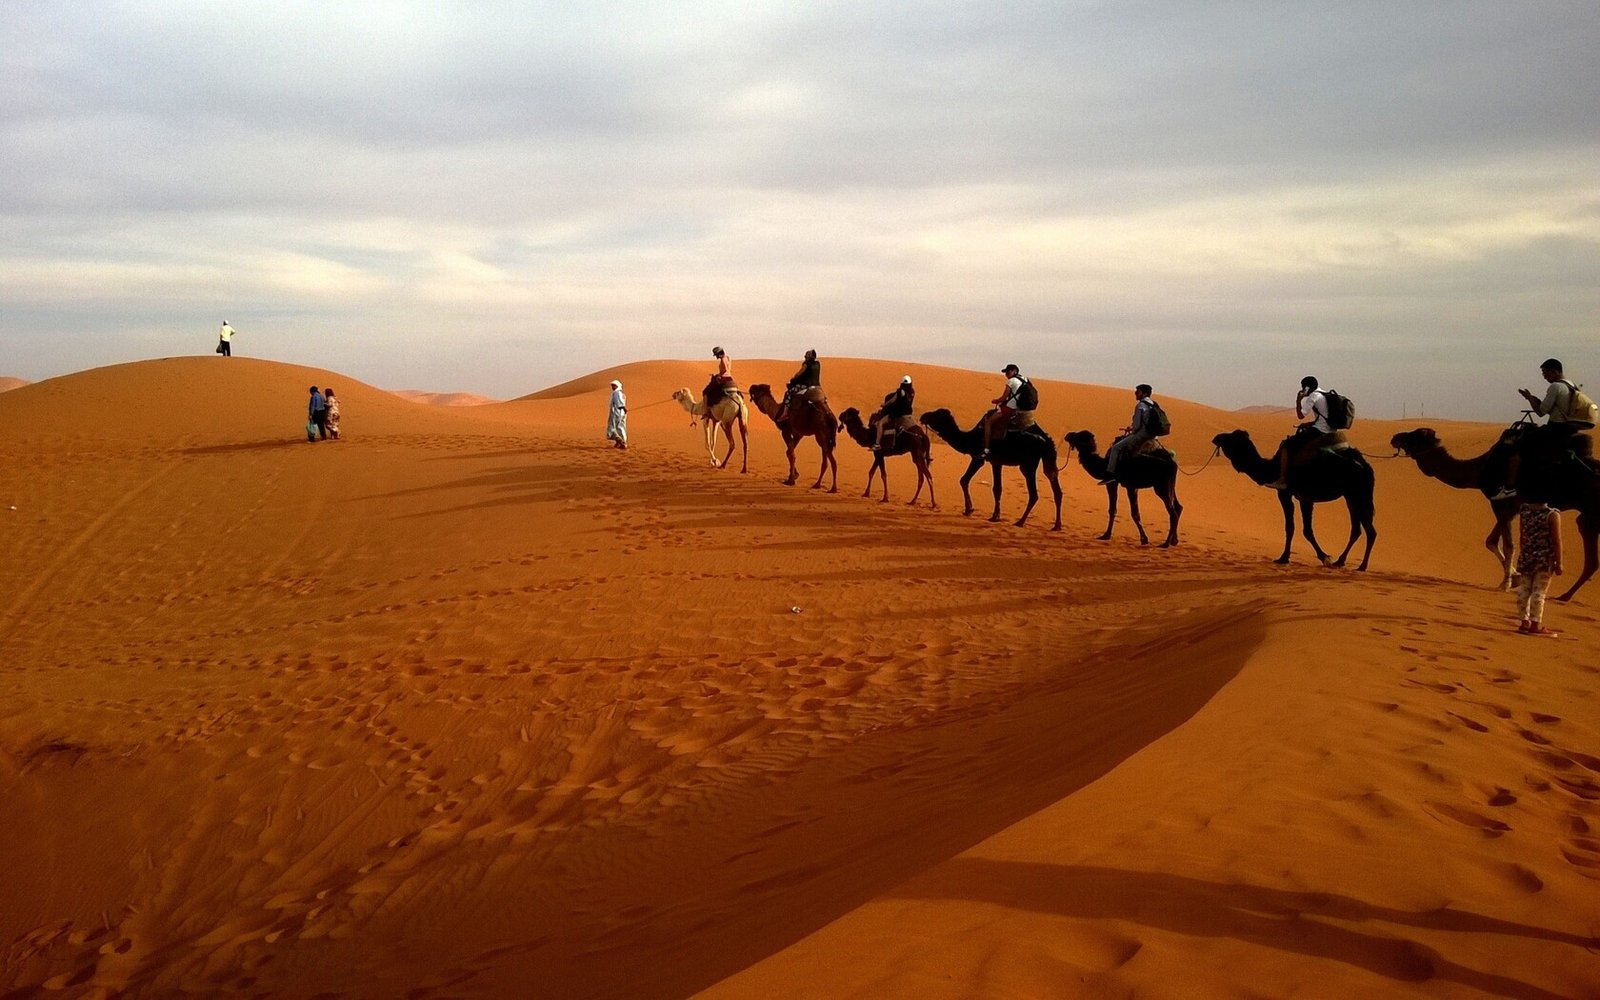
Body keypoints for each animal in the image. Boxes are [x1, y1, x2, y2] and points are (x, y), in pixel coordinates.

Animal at [915, 408, 1062, 531]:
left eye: (936, 414)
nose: (923, 416)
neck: (970, 438)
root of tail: (1046, 441)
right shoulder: (996, 462)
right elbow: (997, 488)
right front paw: (995, 516)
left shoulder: (978, 458)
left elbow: (964, 480)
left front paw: (969, 509)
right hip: (1047, 462)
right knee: (1056, 489)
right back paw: (1056, 526)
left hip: (1028, 464)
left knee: (1034, 494)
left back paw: (1020, 522)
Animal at [1209, 425, 1376, 569]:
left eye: (1231, 438)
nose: (1216, 437)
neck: (1273, 469)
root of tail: (1365, 466)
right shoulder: (1301, 497)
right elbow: (1301, 528)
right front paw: (1322, 557)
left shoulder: (1289, 494)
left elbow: (1295, 528)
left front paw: (1287, 558)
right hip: (1352, 496)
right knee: (1357, 529)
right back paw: (1341, 561)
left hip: (1357, 494)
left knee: (1369, 530)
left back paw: (1362, 566)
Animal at [1395, 425, 1516, 585]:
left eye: (1415, 436)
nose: (1395, 437)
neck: (1480, 470)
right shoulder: (1512, 504)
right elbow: (1491, 541)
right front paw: (1516, 576)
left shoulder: (1500, 500)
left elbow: (1508, 545)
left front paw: (1506, 583)